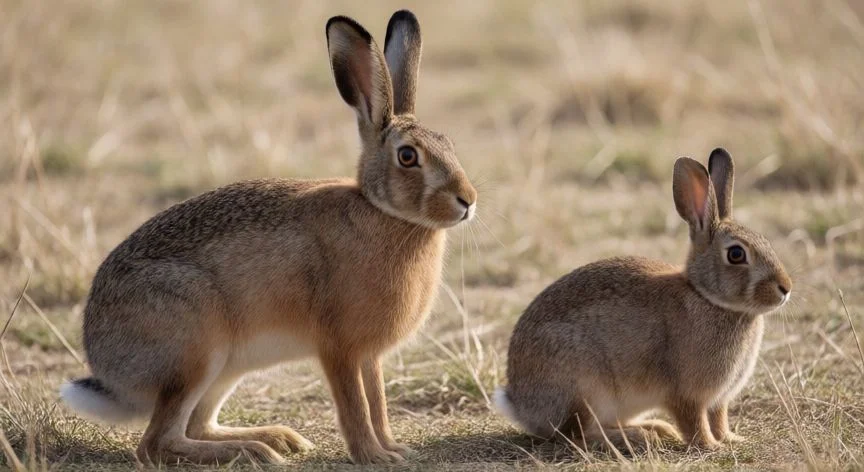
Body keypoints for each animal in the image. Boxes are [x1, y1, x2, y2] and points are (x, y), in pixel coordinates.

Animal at [59, 10, 477, 466]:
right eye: (407, 156)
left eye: (450, 144)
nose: (467, 200)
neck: (382, 211)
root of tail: (107, 366)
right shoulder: (339, 348)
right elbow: (355, 406)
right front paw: (374, 456)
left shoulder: (368, 356)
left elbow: (378, 403)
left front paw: (393, 447)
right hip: (195, 350)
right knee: (158, 443)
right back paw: (255, 450)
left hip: (225, 369)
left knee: (197, 426)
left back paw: (275, 439)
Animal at [494, 149, 791, 451]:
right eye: (736, 254)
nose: (785, 288)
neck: (706, 297)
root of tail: (520, 405)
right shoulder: (686, 394)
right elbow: (695, 423)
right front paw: (711, 446)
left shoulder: (719, 400)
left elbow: (719, 419)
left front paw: (732, 439)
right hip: (585, 389)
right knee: (577, 435)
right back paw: (641, 436)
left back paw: (656, 428)